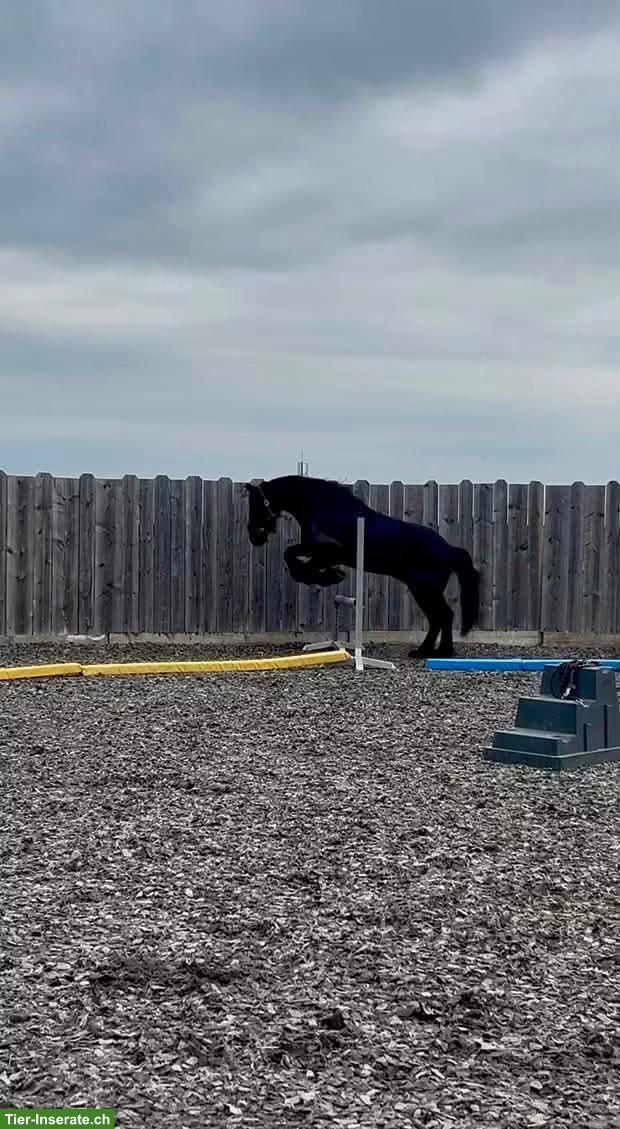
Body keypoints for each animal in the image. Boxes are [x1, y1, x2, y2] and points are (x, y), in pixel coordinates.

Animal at [245, 475, 480, 658]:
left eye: (256, 504)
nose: (254, 536)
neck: (322, 507)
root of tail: (449, 549)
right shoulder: (323, 554)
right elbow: (296, 559)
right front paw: (329, 575)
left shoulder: (328, 549)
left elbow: (291, 555)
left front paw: (328, 576)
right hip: (424, 590)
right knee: (438, 618)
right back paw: (427, 651)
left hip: (425, 589)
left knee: (443, 616)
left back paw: (438, 652)